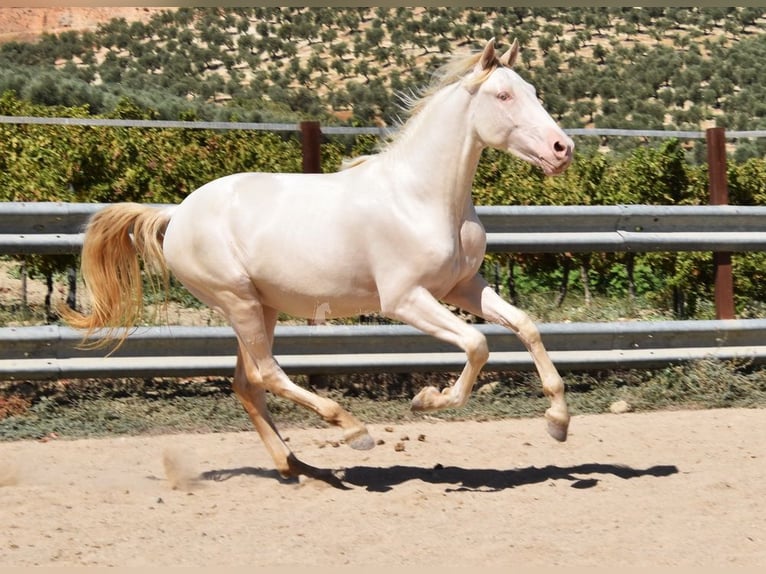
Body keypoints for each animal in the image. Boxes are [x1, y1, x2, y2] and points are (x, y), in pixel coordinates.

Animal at [66, 39, 572, 482]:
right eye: (503, 95)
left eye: (533, 91)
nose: (562, 149)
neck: (421, 197)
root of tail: (176, 214)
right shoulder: (405, 299)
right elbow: (477, 344)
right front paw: (426, 400)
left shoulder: (462, 286)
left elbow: (526, 326)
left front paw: (558, 420)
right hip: (238, 301)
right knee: (266, 373)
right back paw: (352, 430)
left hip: (261, 306)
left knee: (247, 383)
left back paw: (297, 466)